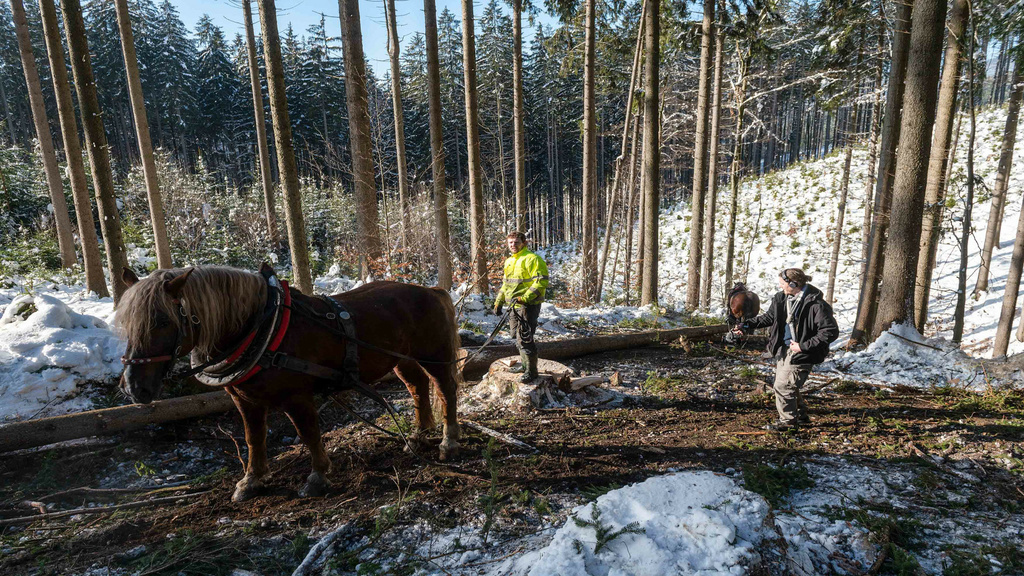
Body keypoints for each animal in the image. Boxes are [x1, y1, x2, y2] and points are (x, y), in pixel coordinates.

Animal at [115, 264, 460, 498]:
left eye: (162, 321)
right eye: (127, 323)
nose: (134, 387)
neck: (260, 328)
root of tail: (432, 291)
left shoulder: (297, 397)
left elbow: (308, 433)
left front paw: (318, 477)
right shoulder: (243, 398)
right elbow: (254, 438)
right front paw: (251, 480)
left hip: (435, 356)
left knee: (446, 391)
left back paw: (448, 442)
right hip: (401, 358)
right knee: (417, 387)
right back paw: (417, 435)